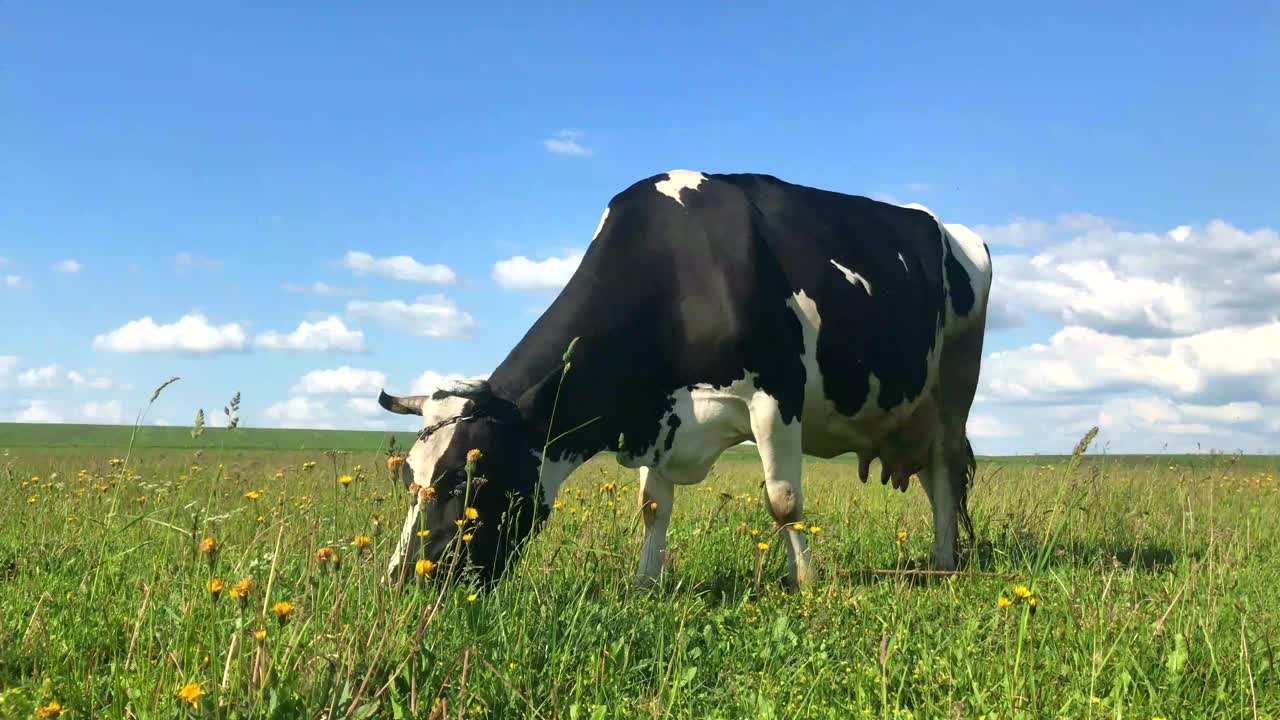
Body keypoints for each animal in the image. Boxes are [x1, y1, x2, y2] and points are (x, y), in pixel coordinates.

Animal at [373, 169, 993, 589]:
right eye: (409, 478)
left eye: (467, 478)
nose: (403, 579)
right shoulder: (662, 418)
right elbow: (653, 505)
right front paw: (646, 584)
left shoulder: (777, 395)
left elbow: (784, 501)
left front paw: (808, 583)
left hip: (957, 381)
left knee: (945, 470)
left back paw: (945, 564)